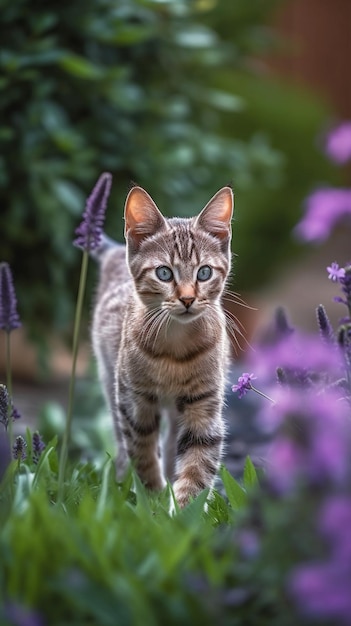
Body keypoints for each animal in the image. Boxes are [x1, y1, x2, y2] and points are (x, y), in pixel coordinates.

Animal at [91, 183, 234, 504]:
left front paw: (183, 509)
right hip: (108, 379)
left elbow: (197, 464)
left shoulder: (204, 404)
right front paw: (153, 500)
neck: (175, 348)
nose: (188, 299)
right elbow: (142, 453)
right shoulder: (134, 400)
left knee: (170, 444)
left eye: (204, 272)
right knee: (123, 443)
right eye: (164, 273)